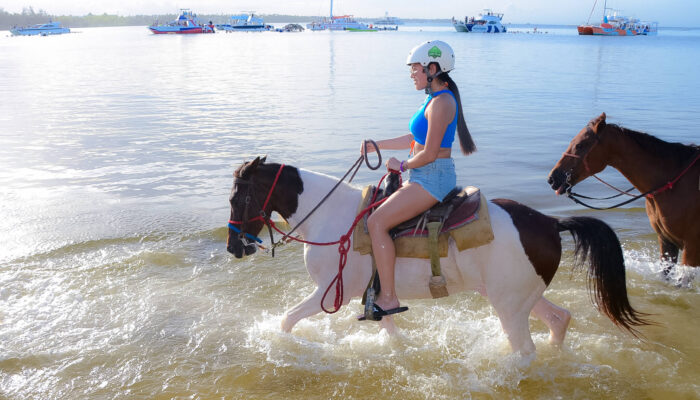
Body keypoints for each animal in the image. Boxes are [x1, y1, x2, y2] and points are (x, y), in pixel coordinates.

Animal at [230, 156, 652, 356]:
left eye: (236, 197)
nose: (235, 247)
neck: (333, 217)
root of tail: (550, 221)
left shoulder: (333, 292)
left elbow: (286, 321)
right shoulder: (374, 296)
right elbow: (390, 329)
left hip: (509, 305)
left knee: (525, 348)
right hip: (516, 296)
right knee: (559, 319)